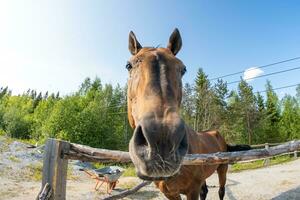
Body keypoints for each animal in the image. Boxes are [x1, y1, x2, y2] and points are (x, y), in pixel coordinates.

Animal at [125, 28, 250, 200]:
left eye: (183, 69)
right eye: (128, 66)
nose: (163, 141)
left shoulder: (192, 190)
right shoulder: (171, 193)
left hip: (222, 169)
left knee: (221, 190)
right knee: (206, 191)